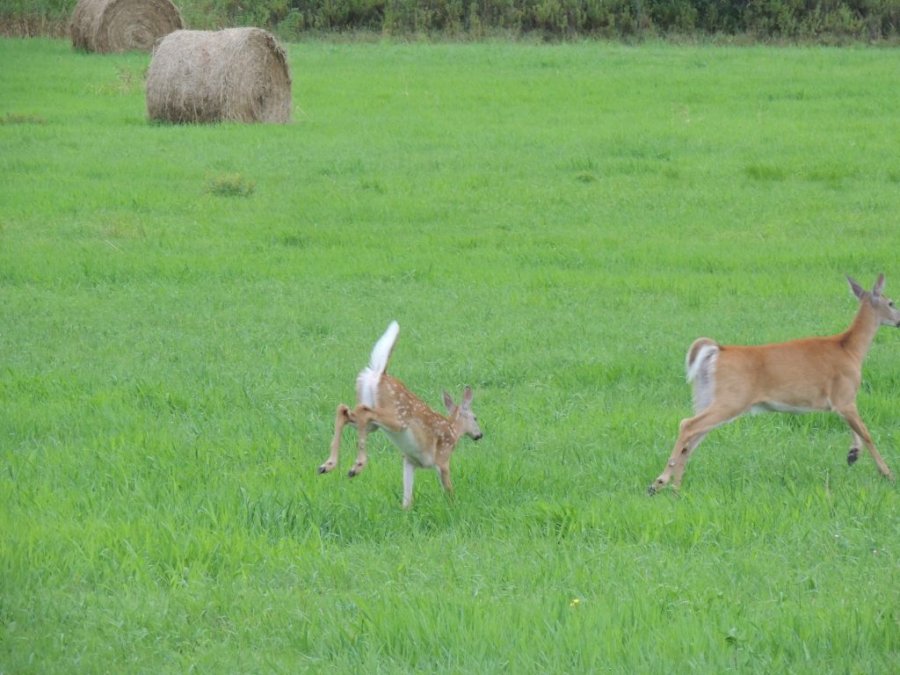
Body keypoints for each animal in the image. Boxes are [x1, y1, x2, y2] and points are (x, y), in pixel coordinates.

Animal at [317, 321, 483, 508]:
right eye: (475, 417)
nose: (479, 434)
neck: (454, 431)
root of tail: (380, 373)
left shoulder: (409, 460)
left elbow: (407, 497)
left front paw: (406, 510)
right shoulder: (443, 458)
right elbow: (448, 489)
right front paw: (453, 506)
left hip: (372, 419)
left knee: (344, 410)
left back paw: (327, 465)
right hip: (397, 418)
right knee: (363, 412)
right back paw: (357, 466)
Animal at [648, 274, 898, 495]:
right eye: (891, 302)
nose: (898, 320)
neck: (850, 349)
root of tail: (716, 351)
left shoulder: (842, 401)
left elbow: (856, 430)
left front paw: (853, 454)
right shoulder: (845, 394)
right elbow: (867, 433)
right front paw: (887, 474)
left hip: (705, 396)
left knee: (693, 436)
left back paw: (672, 486)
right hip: (732, 398)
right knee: (687, 425)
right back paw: (661, 481)